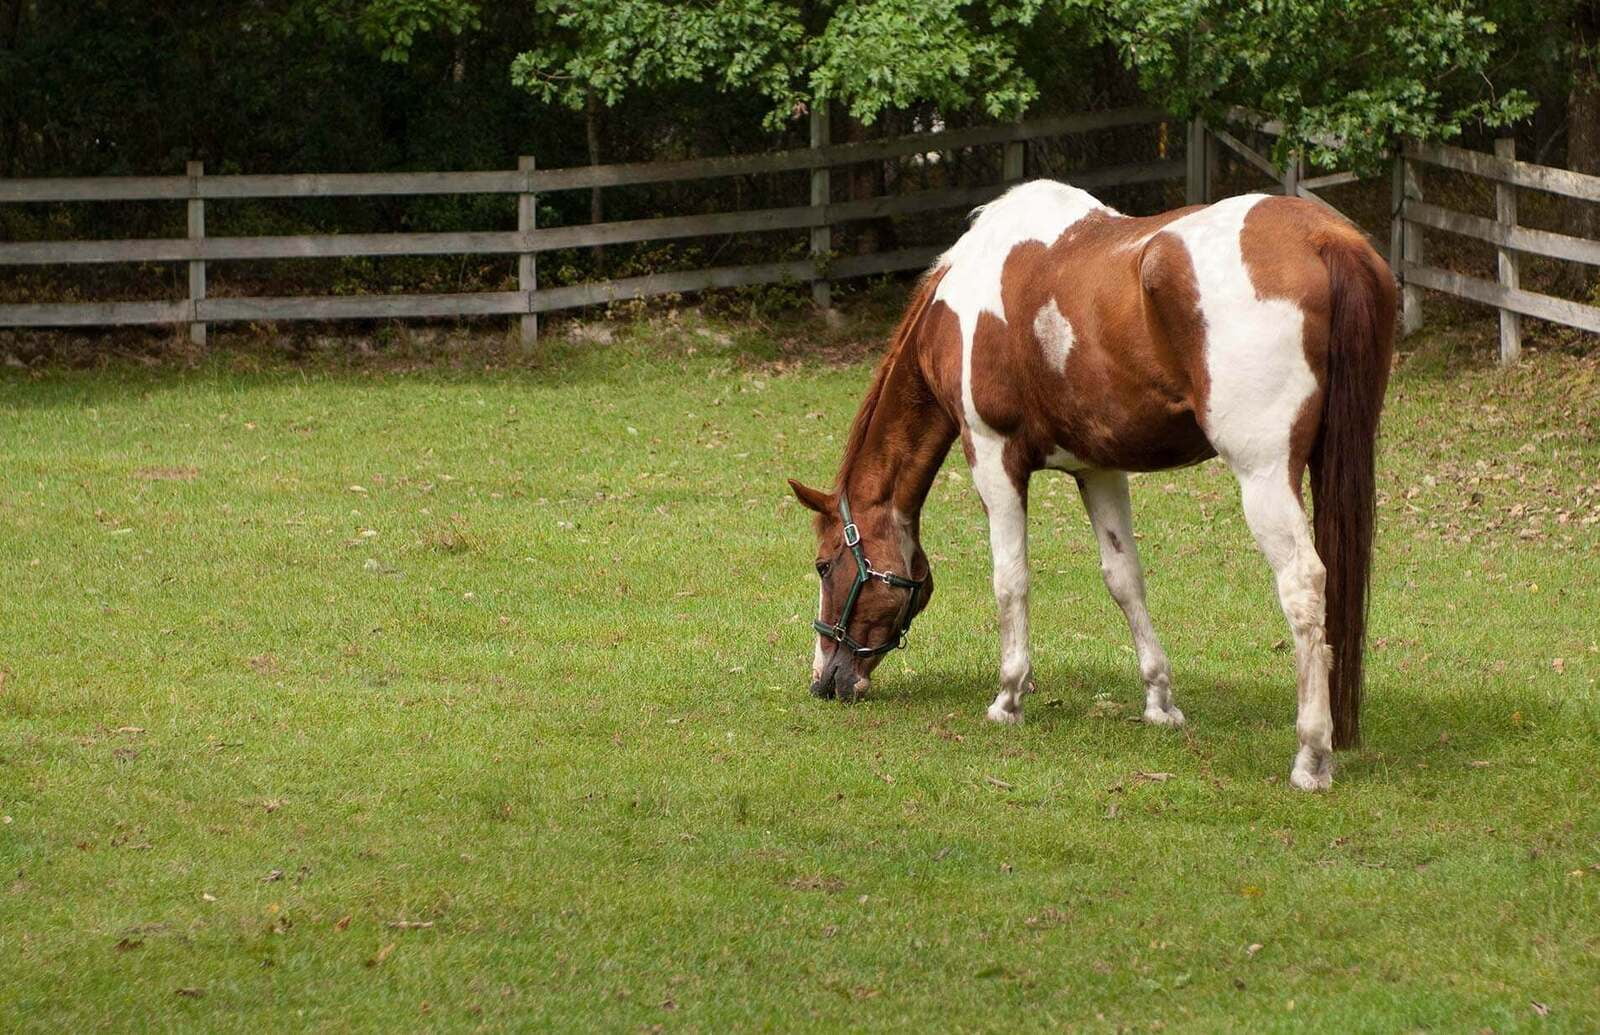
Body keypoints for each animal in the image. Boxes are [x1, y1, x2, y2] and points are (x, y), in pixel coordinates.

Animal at [793, 179, 1395, 793]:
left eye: (824, 565)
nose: (824, 681)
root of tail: (1324, 238)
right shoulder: (1099, 470)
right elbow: (1124, 579)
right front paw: (1160, 703)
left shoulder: (991, 455)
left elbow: (1010, 580)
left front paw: (1008, 698)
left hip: (1264, 474)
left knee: (1302, 585)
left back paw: (1311, 756)